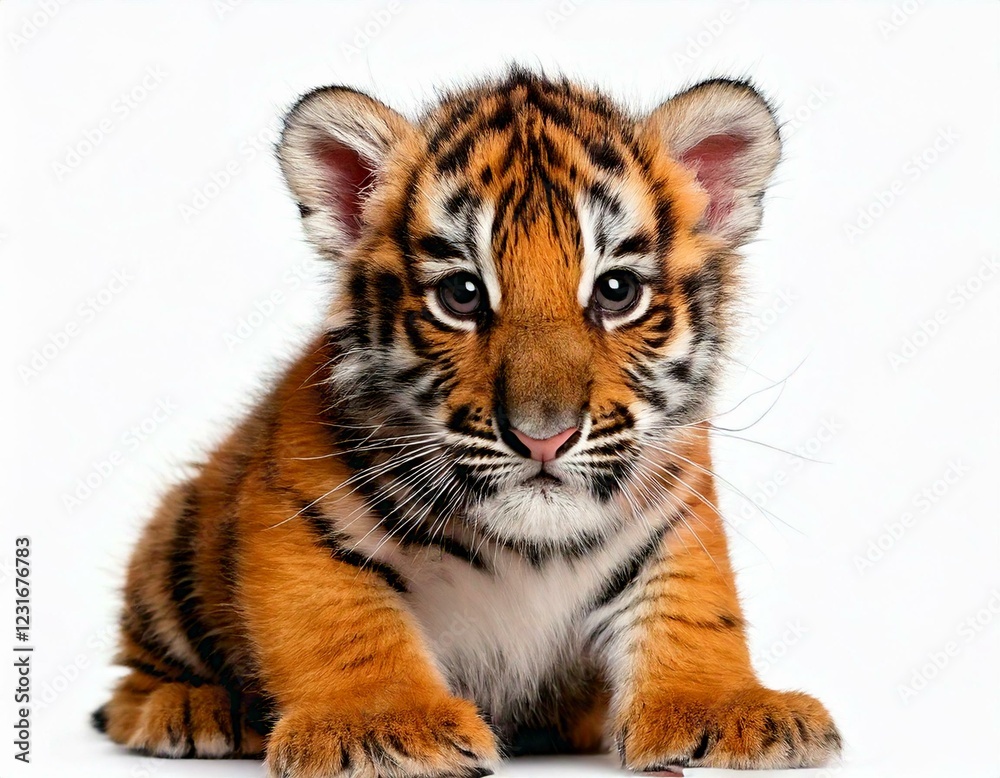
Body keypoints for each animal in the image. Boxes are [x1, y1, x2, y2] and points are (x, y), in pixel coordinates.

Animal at [93, 68, 841, 777]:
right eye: (462, 294)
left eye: (616, 290)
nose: (544, 436)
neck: (531, 549)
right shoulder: (293, 508)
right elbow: (341, 619)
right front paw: (382, 729)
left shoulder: (677, 511)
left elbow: (693, 611)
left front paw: (728, 710)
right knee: (134, 687)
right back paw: (198, 709)